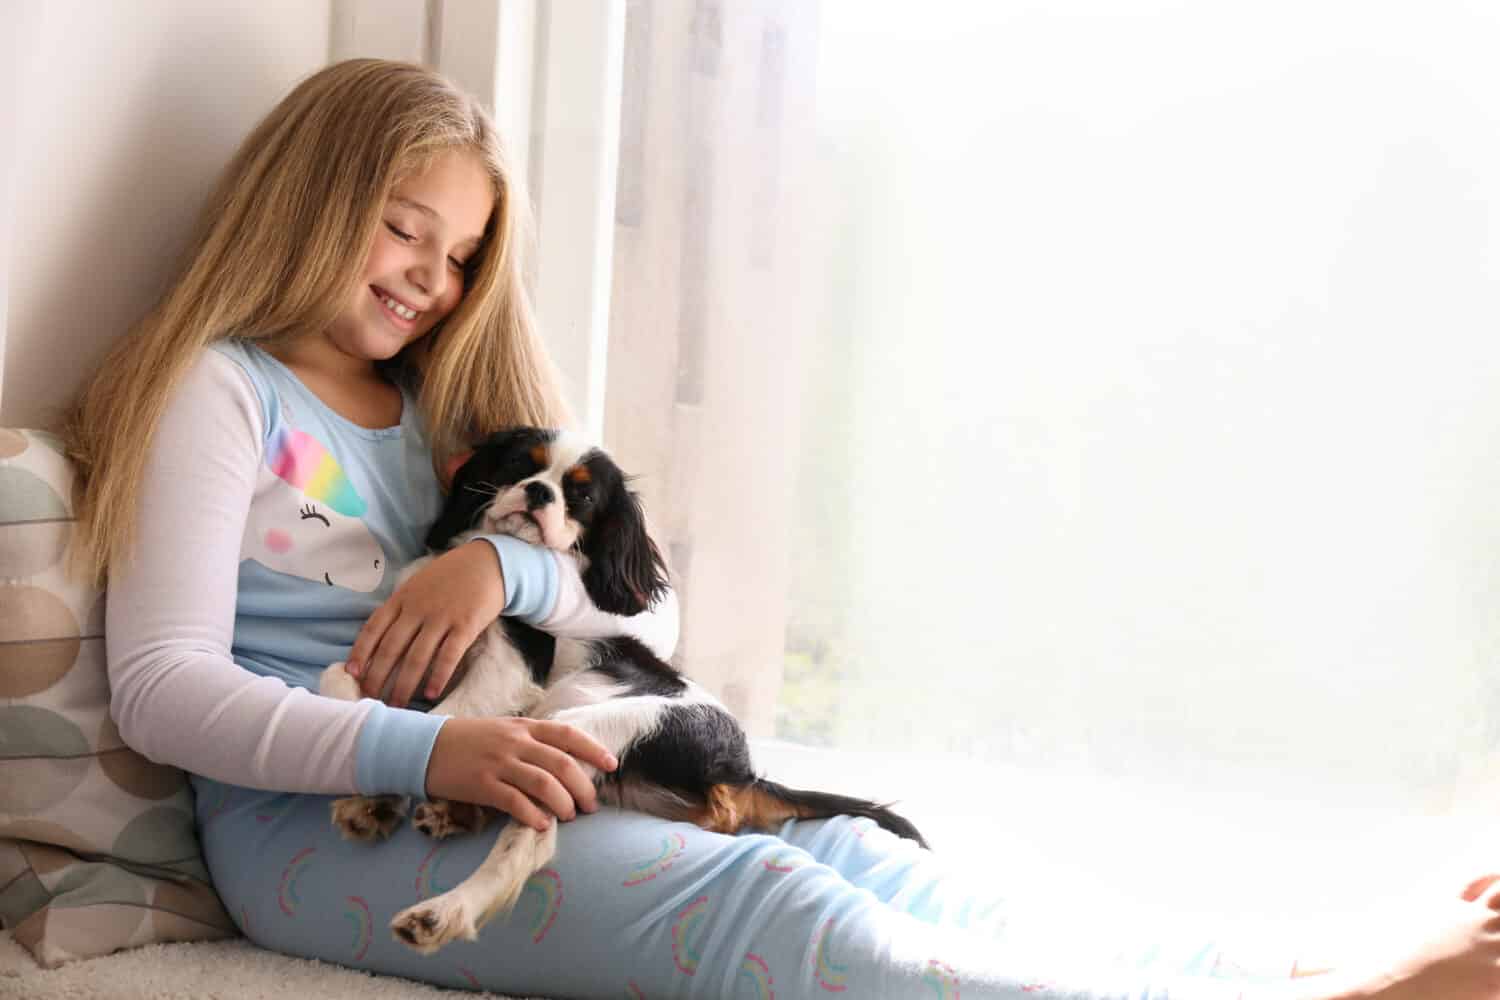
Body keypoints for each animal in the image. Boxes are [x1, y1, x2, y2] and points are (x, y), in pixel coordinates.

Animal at [322, 425, 918, 953]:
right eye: (519, 465)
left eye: (582, 496)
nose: (540, 492)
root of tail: (742, 772)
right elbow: (341, 678)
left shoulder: (508, 667)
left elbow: (432, 721)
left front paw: (374, 796)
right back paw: (455, 815)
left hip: (578, 728)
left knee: (532, 836)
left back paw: (443, 912)